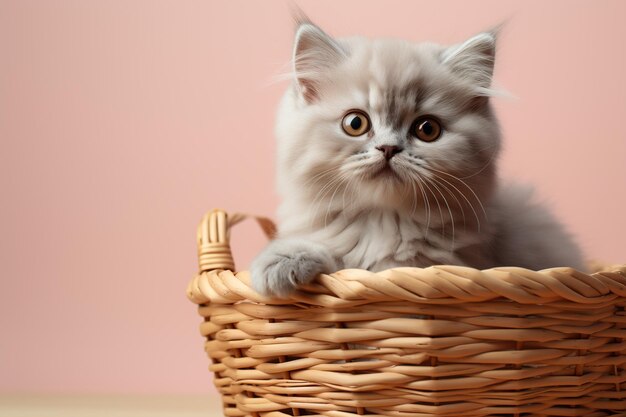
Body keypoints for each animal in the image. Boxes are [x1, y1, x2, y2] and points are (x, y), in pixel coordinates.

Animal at [247, 19, 580, 296]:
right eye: (355, 123)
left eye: (427, 129)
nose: (388, 148)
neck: (381, 223)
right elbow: (329, 255)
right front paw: (282, 261)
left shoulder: (448, 264)